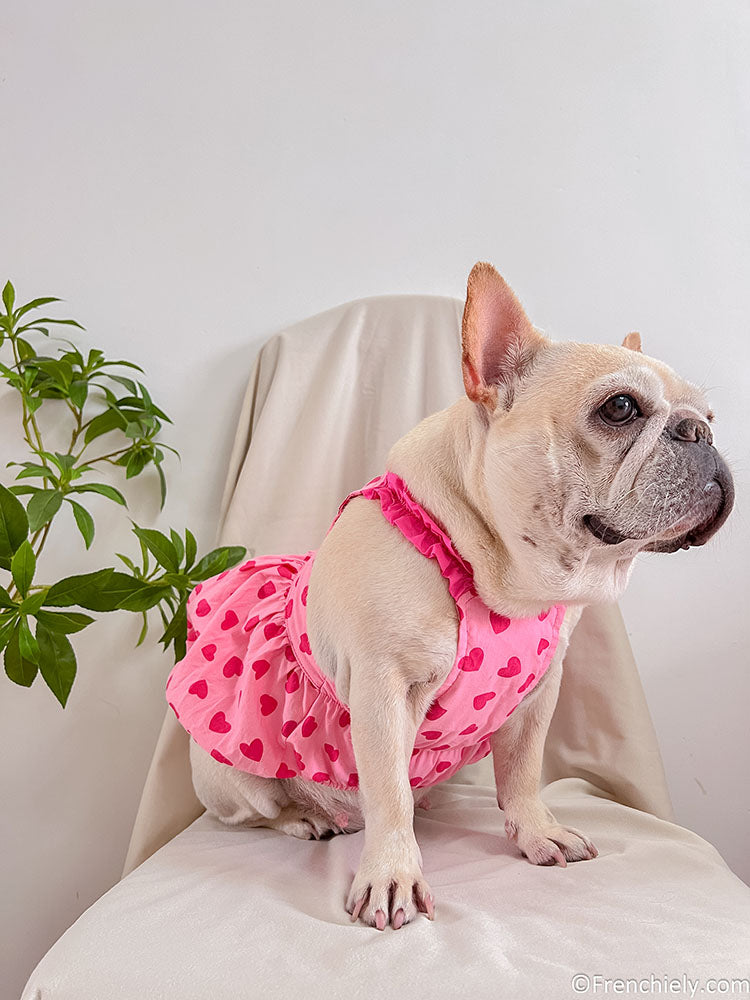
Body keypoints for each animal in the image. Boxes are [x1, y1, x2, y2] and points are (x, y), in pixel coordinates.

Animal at [169, 264, 736, 928]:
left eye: (711, 415)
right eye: (619, 407)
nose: (699, 431)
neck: (504, 576)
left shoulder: (537, 694)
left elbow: (522, 772)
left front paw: (536, 832)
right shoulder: (383, 687)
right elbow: (387, 791)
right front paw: (391, 874)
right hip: (232, 778)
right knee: (257, 813)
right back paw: (306, 816)